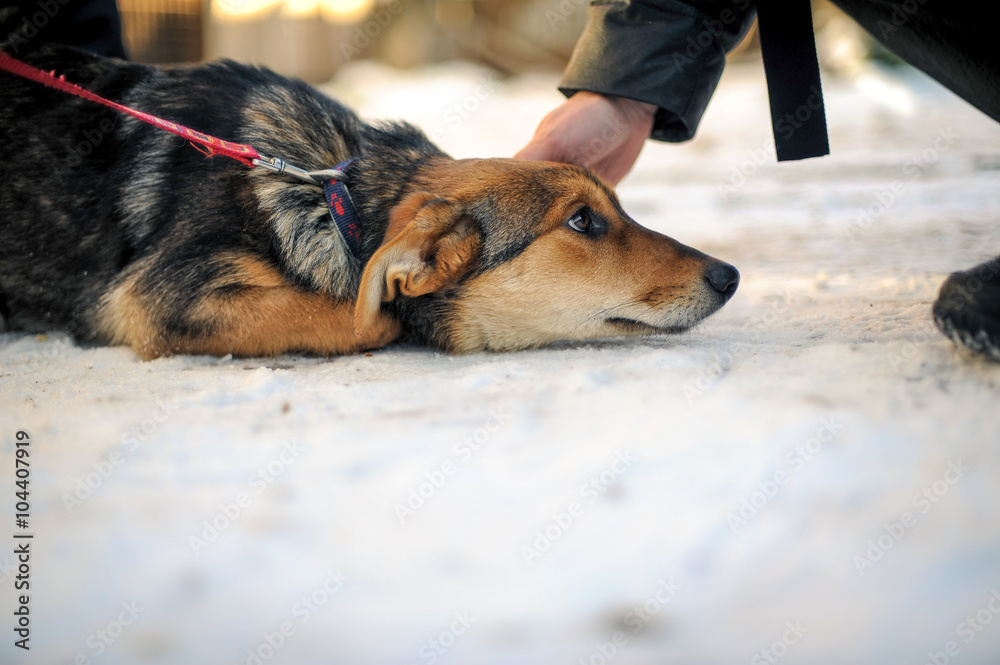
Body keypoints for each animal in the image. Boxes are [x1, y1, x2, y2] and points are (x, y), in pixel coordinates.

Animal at [0, 42, 736, 358]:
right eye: (582, 221)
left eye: (618, 207)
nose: (729, 276)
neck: (335, 200)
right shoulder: (157, 296)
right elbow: (373, 321)